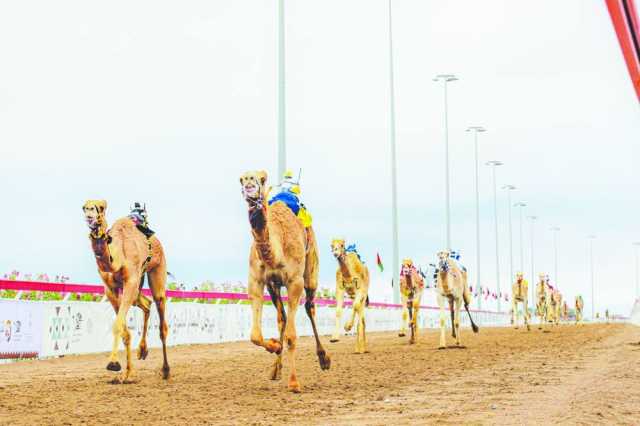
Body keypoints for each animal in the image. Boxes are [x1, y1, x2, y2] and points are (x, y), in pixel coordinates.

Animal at [82, 200, 170, 382]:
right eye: (84, 207)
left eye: (101, 208)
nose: (90, 216)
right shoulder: (110, 289)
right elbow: (124, 330)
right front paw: (127, 373)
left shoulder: (130, 282)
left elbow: (117, 325)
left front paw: (113, 363)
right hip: (137, 288)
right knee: (146, 303)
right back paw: (142, 351)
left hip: (157, 269)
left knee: (161, 318)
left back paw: (165, 370)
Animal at [239, 171, 330, 392]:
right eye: (241, 179)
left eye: (261, 179)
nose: (249, 183)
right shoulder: (258, 281)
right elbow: (255, 335)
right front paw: (274, 346)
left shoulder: (294, 282)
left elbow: (291, 335)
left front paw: (294, 382)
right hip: (274, 287)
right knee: (283, 317)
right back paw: (275, 369)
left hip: (310, 272)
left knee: (309, 307)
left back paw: (324, 359)